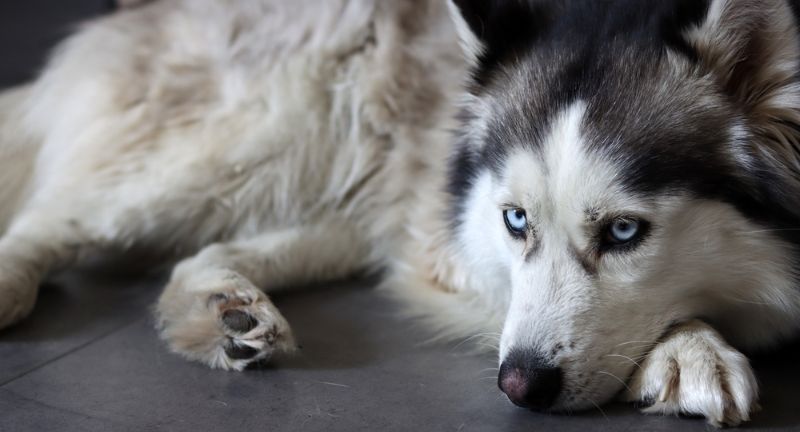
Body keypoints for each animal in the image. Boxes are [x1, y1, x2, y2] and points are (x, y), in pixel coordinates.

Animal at [1, 0, 800, 426]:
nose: (519, 385)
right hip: (264, 132)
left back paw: (227, 308)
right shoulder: (455, 244)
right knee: (57, 215)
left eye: (625, 231)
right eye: (517, 221)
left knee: (201, 251)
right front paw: (686, 350)